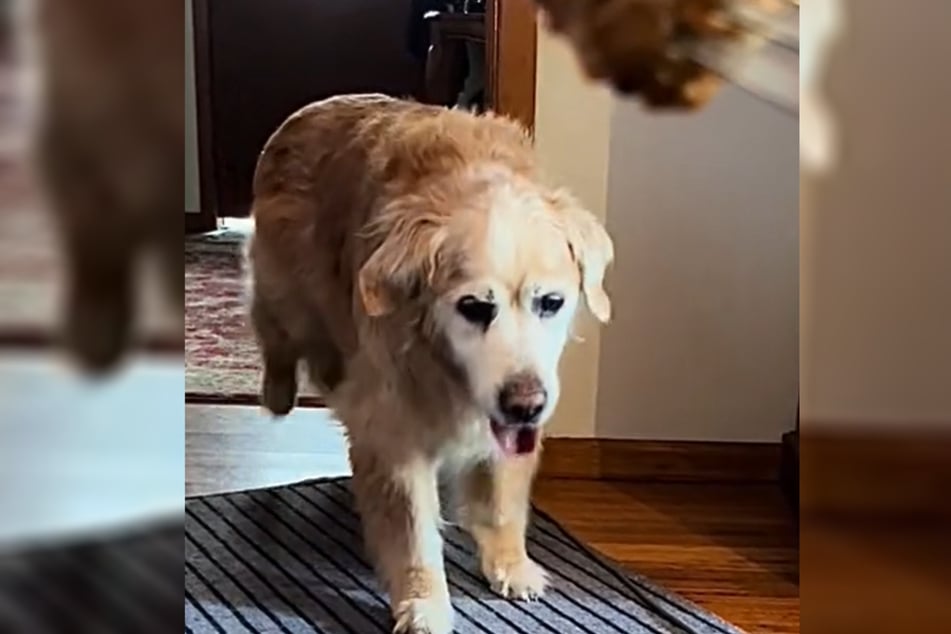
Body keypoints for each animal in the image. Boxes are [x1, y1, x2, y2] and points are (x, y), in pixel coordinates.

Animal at [249, 95, 612, 632]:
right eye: (474, 307)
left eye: (550, 302)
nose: (525, 403)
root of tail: (306, 110)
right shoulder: (394, 431)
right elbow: (413, 530)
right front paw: (423, 601)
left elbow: (501, 498)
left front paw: (510, 563)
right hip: (285, 295)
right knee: (274, 331)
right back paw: (277, 393)